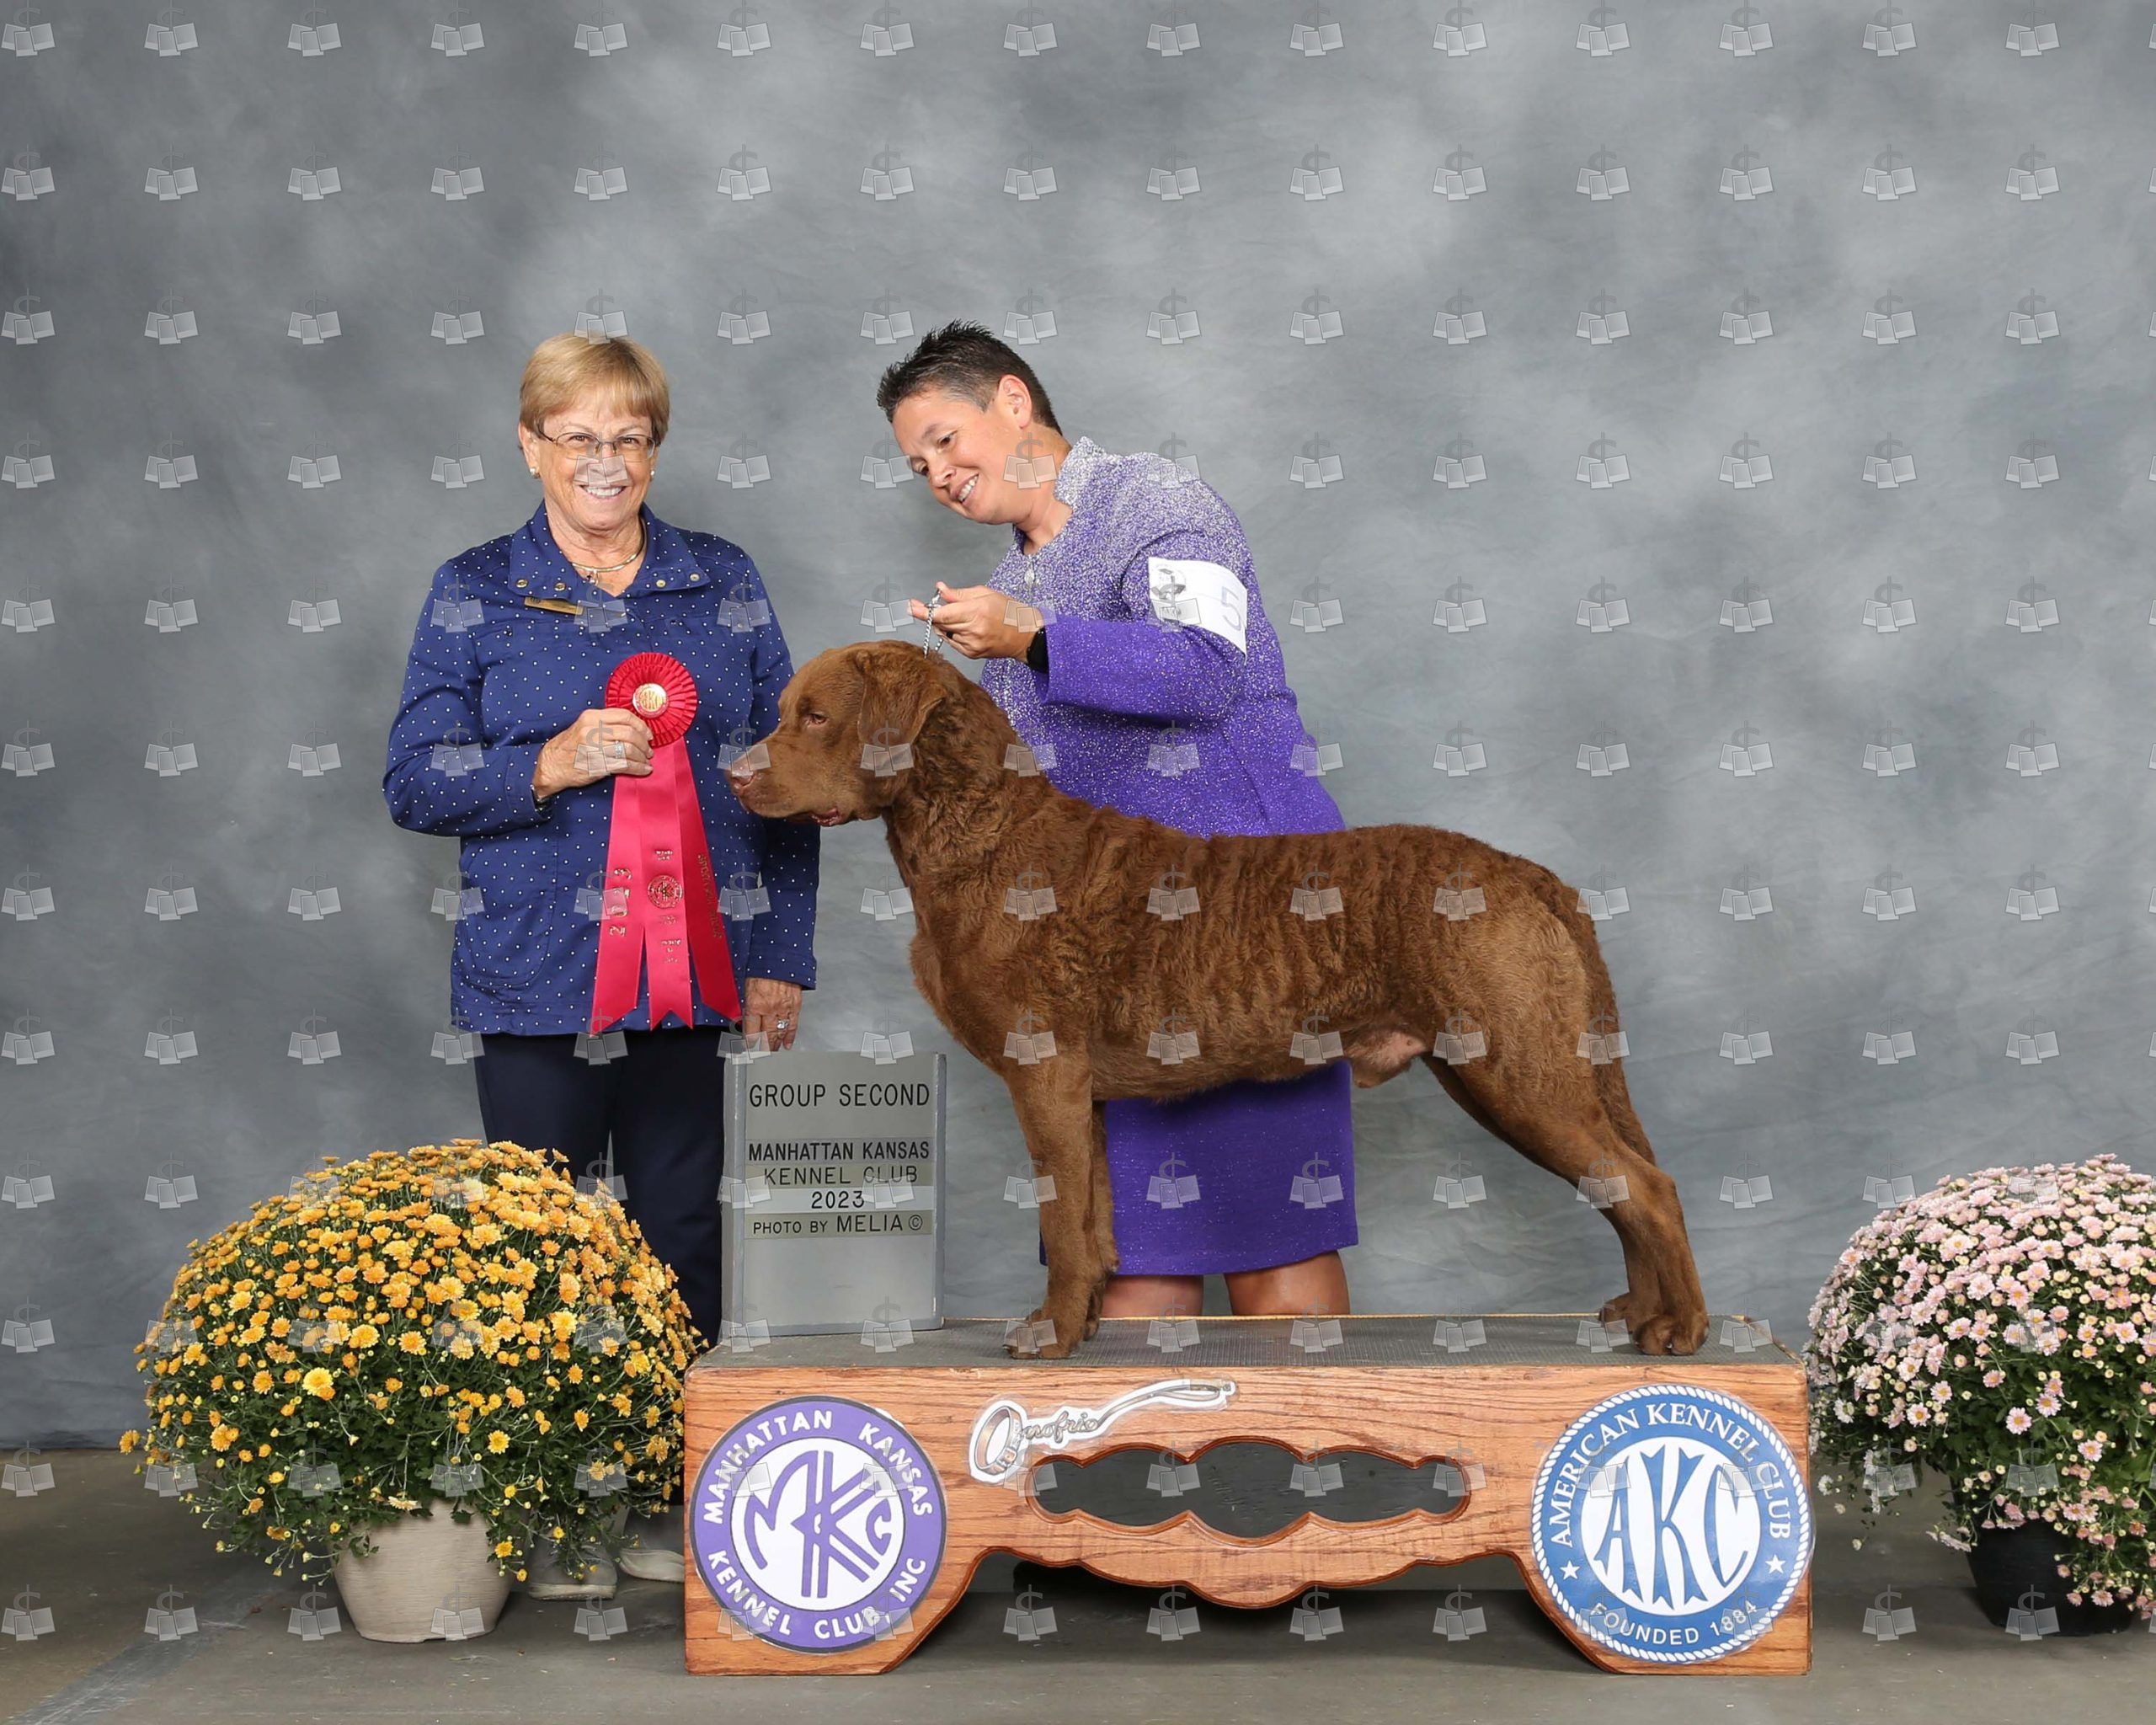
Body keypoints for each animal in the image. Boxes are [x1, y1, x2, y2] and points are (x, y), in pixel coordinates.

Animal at [726, 639, 1709, 1360]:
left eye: (815, 715)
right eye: (782, 711)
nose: (734, 775)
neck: (984, 833)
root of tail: (1527, 872)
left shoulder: (1043, 1067)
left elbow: (1060, 1215)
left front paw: (1048, 1334)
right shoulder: (1078, 1089)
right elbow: (1093, 1216)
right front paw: (1085, 1322)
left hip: (1516, 1066)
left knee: (1647, 1185)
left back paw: (1681, 1327)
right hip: (1512, 1067)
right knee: (1618, 1178)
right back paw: (1637, 1312)